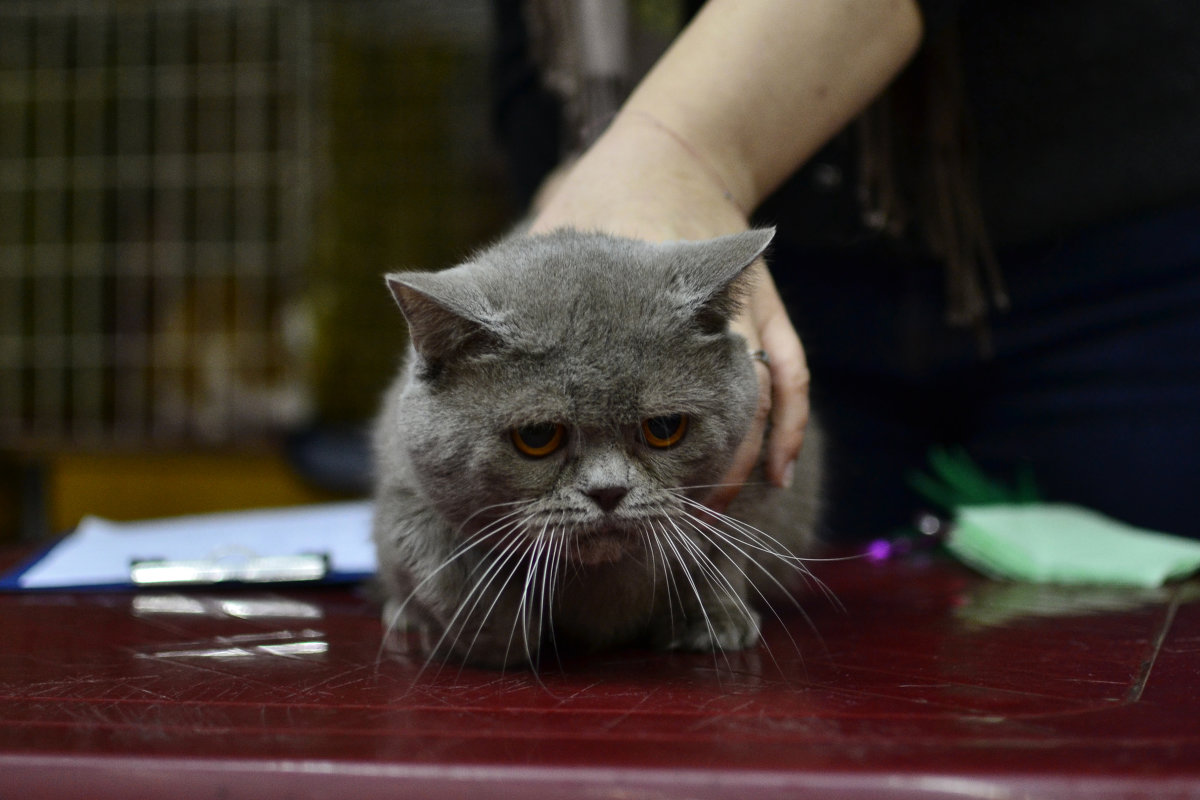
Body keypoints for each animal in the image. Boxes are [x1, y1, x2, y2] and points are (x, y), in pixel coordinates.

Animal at [372, 226, 825, 671]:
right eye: (537, 435)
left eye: (664, 427)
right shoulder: (406, 489)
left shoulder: (748, 472)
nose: (607, 491)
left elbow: (725, 549)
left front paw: (714, 622)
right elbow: (448, 573)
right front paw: (494, 633)